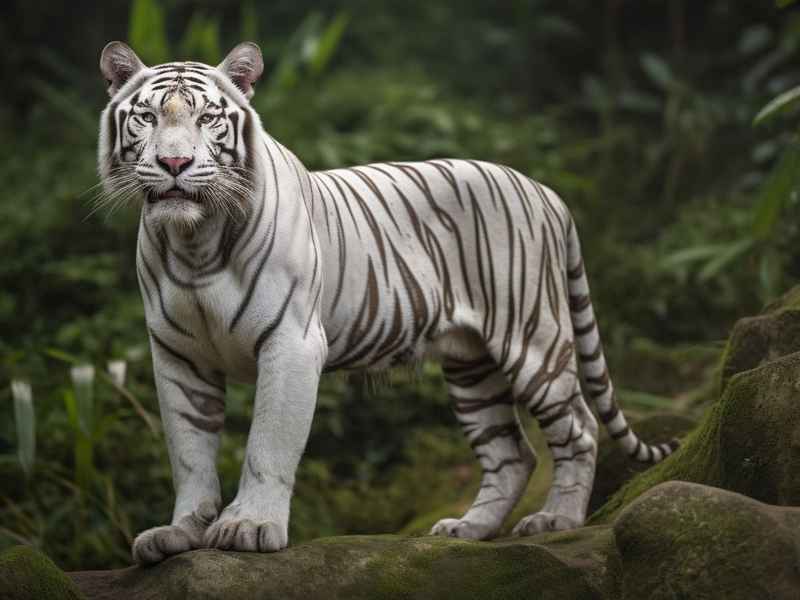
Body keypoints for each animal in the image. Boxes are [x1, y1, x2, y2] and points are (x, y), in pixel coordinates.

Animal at [97, 41, 678, 565]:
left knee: (579, 427)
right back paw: (467, 529)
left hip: (532, 338)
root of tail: (545, 191)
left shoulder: (291, 343)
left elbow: (268, 443)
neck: (195, 243)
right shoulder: (177, 356)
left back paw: (558, 519)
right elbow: (189, 454)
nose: (175, 162)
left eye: (208, 118)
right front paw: (180, 533)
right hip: (472, 364)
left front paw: (250, 527)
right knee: (510, 452)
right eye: (147, 116)